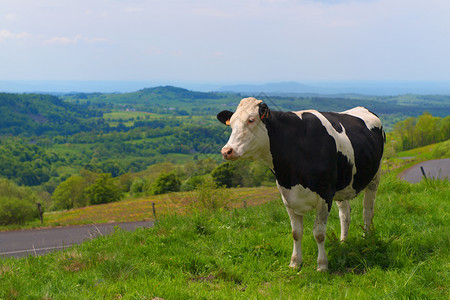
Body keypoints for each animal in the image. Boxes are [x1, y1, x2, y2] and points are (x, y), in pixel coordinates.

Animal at [216, 98, 384, 272]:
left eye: (251, 120)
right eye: (231, 124)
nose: (227, 151)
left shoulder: (325, 195)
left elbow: (319, 233)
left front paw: (322, 265)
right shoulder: (288, 198)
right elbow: (296, 232)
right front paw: (295, 262)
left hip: (375, 177)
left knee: (367, 211)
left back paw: (367, 239)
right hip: (343, 186)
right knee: (345, 214)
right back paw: (343, 242)